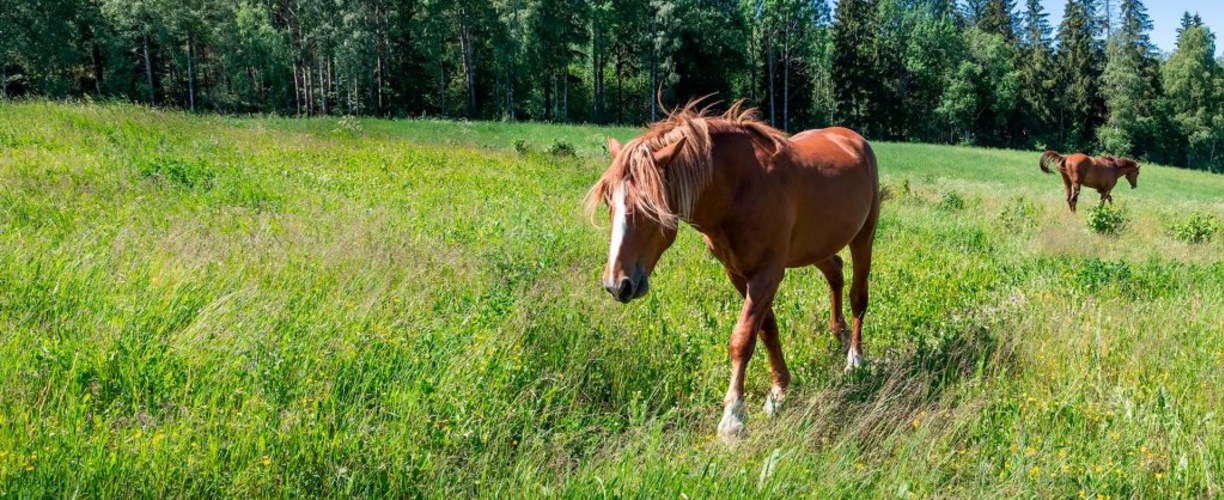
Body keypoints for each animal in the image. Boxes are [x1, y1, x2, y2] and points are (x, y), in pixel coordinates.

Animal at [585, 102, 881, 441]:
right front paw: (779, 390)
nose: (617, 284)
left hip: (863, 237)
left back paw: (855, 358)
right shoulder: (737, 273)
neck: (740, 187)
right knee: (835, 272)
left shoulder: (767, 273)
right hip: (815, 245)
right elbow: (766, 330)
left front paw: (734, 415)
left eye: (650, 205)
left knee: (858, 297)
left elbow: (742, 338)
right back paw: (838, 333)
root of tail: (852, 138)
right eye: (609, 202)